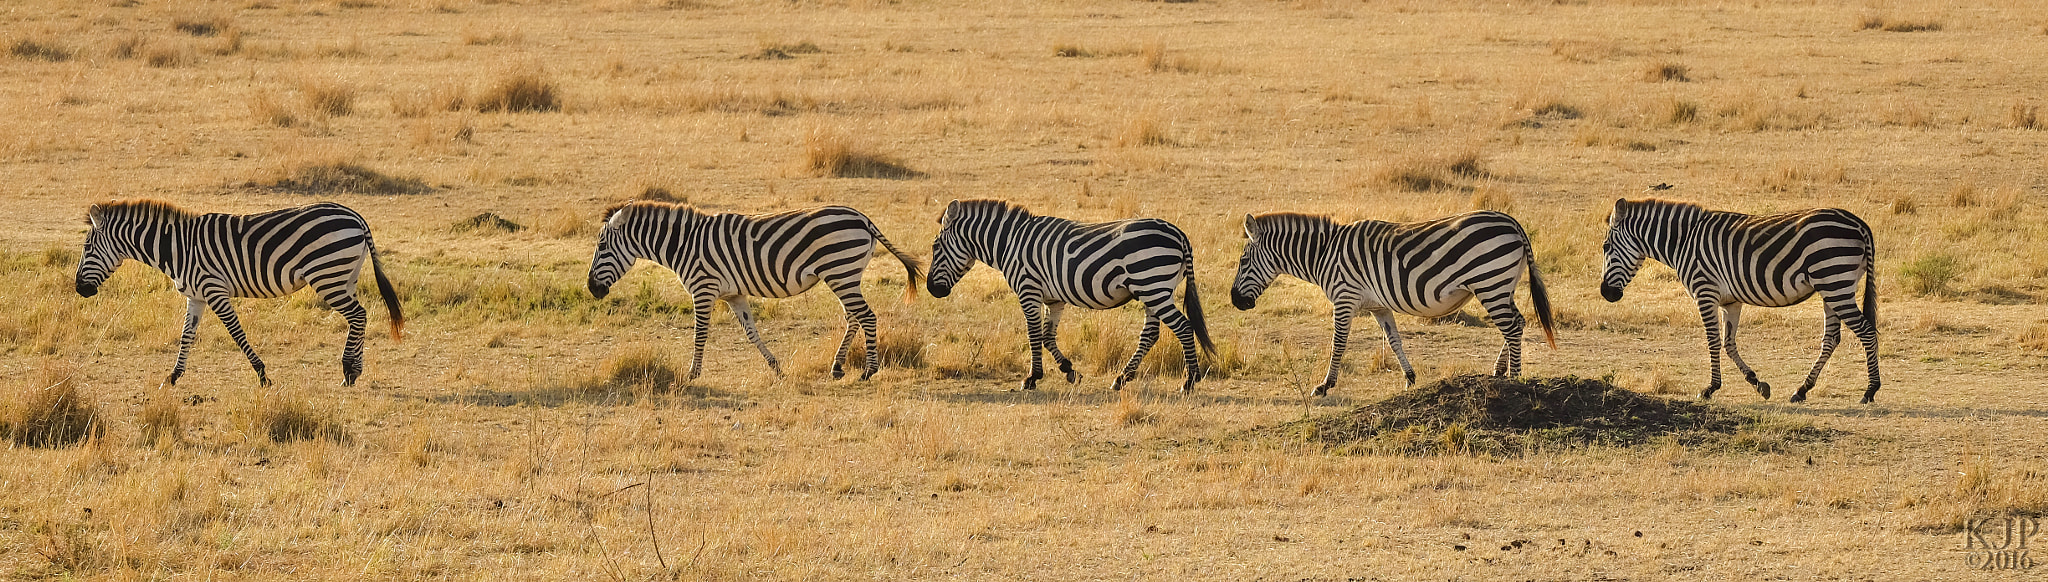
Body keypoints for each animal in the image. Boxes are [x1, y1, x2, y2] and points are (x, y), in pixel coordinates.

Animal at [73, 198, 399, 387]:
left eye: (87, 248)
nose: (79, 288)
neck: (176, 248)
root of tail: (355, 216)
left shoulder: (214, 289)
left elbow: (236, 333)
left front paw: (263, 375)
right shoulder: (196, 296)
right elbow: (186, 335)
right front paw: (173, 376)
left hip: (327, 275)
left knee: (357, 315)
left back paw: (348, 371)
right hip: (344, 276)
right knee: (359, 316)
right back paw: (354, 370)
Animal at [585, 200, 921, 381]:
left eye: (602, 246)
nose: (591, 288)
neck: (684, 244)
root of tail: (862, 218)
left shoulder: (703, 288)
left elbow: (700, 333)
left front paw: (693, 373)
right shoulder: (734, 294)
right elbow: (751, 332)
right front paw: (776, 367)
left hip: (840, 271)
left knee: (867, 316)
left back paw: (869, 370)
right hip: (844, 274)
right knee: (854, 317)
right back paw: (838, 367)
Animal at [921, 198, 1204, 391]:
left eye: (935, 247)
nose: (931, 289)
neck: (1009, 243)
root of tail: (1179, 234)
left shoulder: (1028, 289)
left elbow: (1033, 334)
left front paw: (1032, 378)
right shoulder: (1053, 299)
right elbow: (1047, 336)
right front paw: (1069, 371)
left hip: (1152, 285)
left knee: (1182, 326)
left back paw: (1190, 380)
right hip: (1152, 290)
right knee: (1150, 334)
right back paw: (1122, 378)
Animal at [1228, 209, 1548, 395]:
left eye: (1243, 262)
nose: (1234, 300)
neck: (1324, 253)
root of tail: (1513, 223)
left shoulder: (1344, 298)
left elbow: (1338, 343)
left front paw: (1325, 385)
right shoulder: (1378, 306)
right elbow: (1394, 340)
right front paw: (1410, 378)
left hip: (1489, 281)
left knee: (1511, 327)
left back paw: (1515, 379)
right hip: (1501, 285)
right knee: (1517, 322)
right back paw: (1499, 372)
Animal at [1605, 197, 1875, 401]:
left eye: (1606, 247)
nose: (1606, 294)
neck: (1684, 242)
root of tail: (1858, 223)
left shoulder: (1705, 291)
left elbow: (1713, 341)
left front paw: (1710, 388)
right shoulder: (1730, 301)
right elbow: (1728, 343)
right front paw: (1757, 382)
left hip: (1834, 280)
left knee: (1866, 330)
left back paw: (1870, 390)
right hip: (1832, 287)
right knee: (1831, 339)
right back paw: (1802, 390)